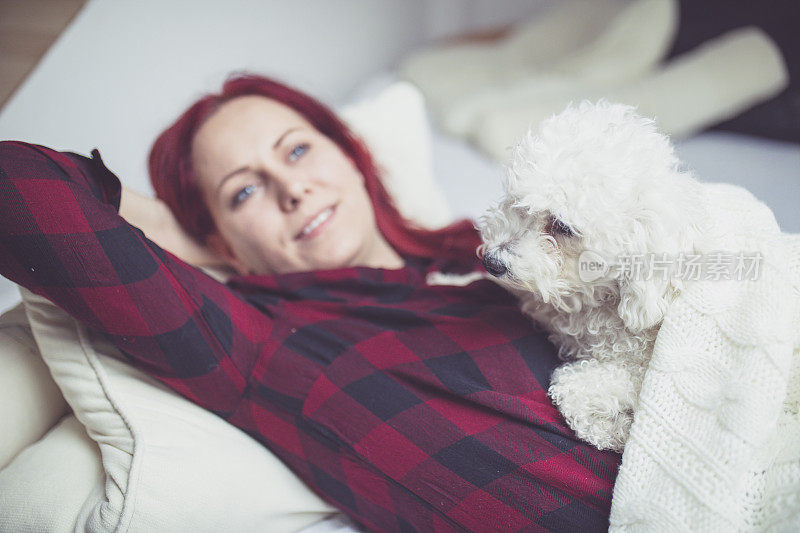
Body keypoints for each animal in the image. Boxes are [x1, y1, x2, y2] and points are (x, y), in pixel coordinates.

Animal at [476, 100, 708, 448]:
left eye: (562, 226)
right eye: (518, 203)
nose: (492, 262)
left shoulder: (636, 371)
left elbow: (572, 389)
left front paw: (615, 430)